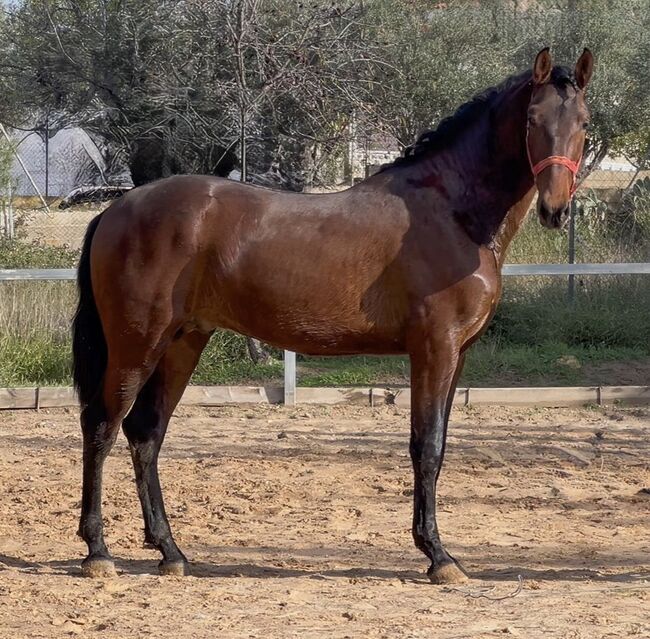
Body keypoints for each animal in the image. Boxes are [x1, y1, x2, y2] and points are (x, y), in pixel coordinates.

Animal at [72, 48, 593, 583]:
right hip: (137, 344)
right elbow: (426, 447)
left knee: (145, 433)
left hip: (182, 342)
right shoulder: (435, 348)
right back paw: (98, 552)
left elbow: (440, 443)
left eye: (584, 122)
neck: (452, 212)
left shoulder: (458, 353)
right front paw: (438, 556)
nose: (556, 208)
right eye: (531, 120)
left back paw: (170, 551)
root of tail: (116, 209)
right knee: (102, 425)